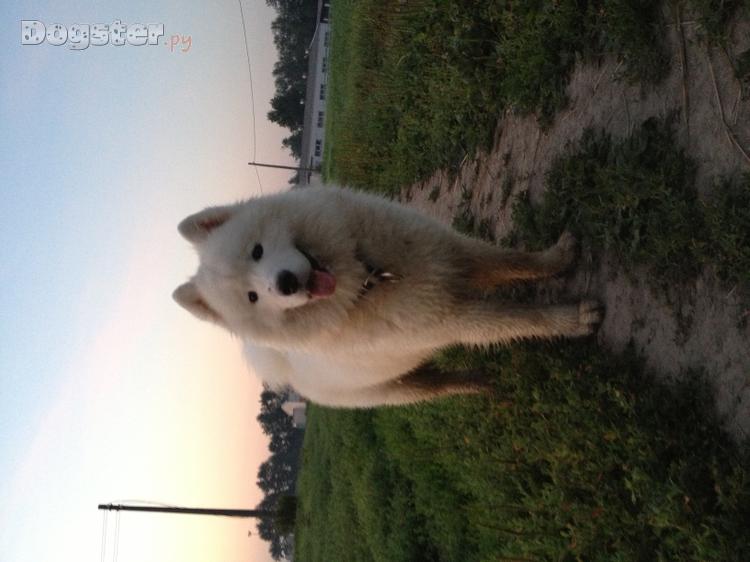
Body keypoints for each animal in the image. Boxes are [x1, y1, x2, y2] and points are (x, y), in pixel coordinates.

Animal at [174, 185, 602, 408]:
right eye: (252, 298)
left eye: (257, 251)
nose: (285, 283)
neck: (369, 276)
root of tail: (290, 375)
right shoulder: (454, 318)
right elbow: (520, 320)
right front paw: (574, 319)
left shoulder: (449, 252)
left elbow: (512, 260)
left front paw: (559, 257)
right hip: (392, 390)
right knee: (435, 387)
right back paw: (475, 384)